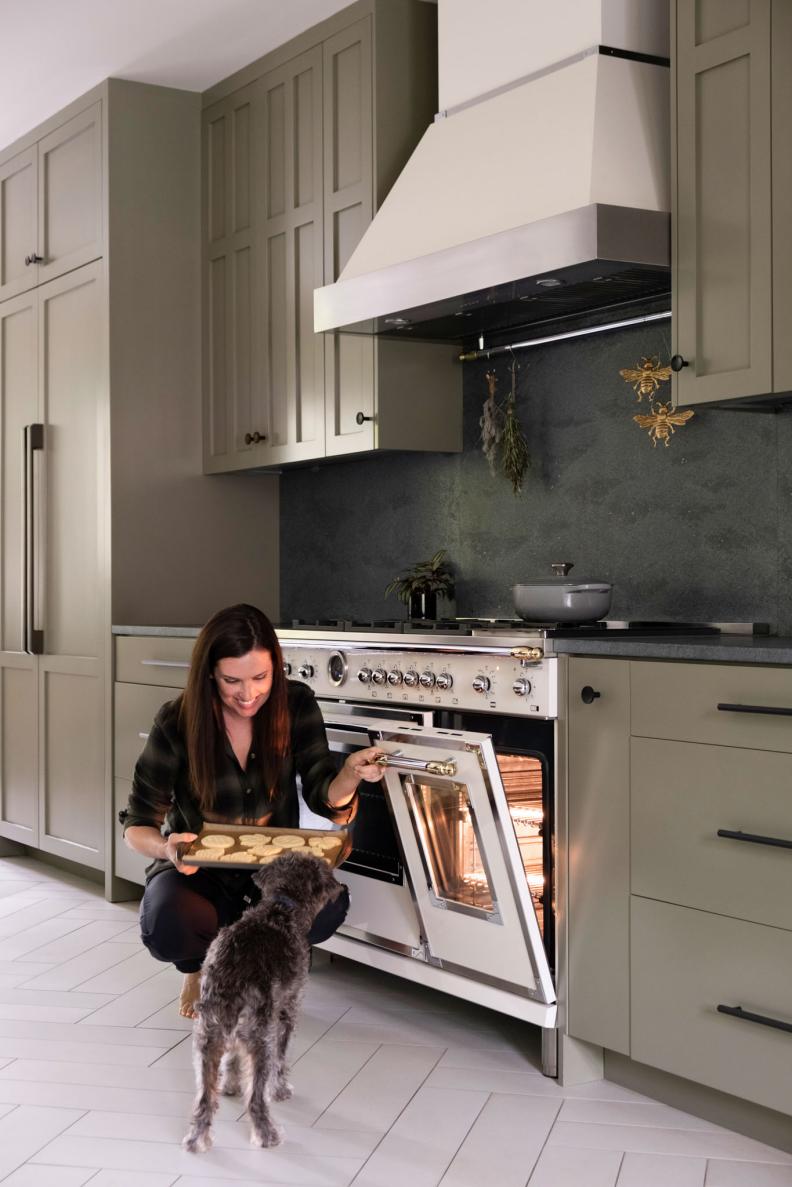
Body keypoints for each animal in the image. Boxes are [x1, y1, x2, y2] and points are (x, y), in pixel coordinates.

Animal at [187, 849, 349, 1153]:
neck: (281, 907)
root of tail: (232, 978)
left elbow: (232, 1060)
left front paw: (230, 1085)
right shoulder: (287, 1010)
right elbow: (281, 1059)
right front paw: (281, 1089)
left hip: (207, 1038)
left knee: (203, 1100)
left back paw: (196, 1140)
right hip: (260, 1038)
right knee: (256, 1098)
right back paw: (267, 1135)